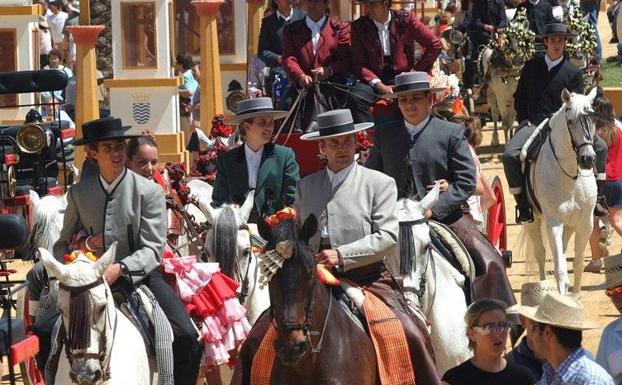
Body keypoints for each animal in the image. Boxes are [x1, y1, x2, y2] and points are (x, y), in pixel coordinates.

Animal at [520, 88, 604, 294]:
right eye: (570, 121)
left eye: (593, 119)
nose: (587, 159)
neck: (570, 177)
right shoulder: (553, 222)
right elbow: (558, 267)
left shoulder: (585, 223)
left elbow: (578, 263)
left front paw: (575, 296)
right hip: (533, 221)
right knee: (541, 254)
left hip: (570, 223)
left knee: (564, 251)